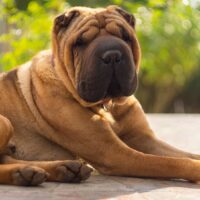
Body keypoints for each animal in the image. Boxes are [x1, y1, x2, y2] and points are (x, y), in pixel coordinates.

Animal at [0, 5, 200, 186]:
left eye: (125, 37)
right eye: (80, 42)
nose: (112, 55)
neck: (108, 106)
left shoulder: (144, 139)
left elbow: (184, 155)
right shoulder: (114, 153)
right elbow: (171, 162)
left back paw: (58, 169)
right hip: (6, 122)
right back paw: (28, 173)